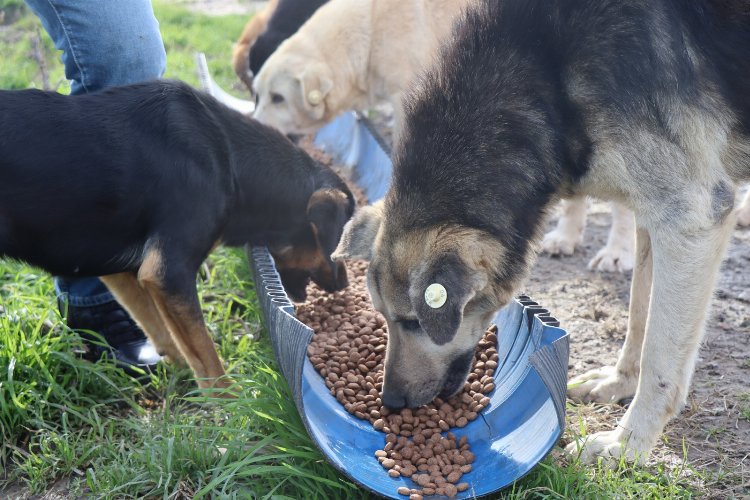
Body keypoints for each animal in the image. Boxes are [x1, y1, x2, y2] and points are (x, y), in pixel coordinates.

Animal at [0, 78, 356, 390]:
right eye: (340, 244)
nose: (345, 284)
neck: (230, 161)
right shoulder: (169, 273)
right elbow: (208, 356)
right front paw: (231, 407)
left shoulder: (122, 269)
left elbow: (163, 332)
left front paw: (180, 372)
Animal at [336, 0, 750, 464]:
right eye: (384, 317)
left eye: (412, 322)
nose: (389, 401)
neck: (543, 75)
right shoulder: (653, 214)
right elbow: (639, 318)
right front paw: (619, 383)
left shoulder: (690, 217)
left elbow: (660, 357)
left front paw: (626, 446)